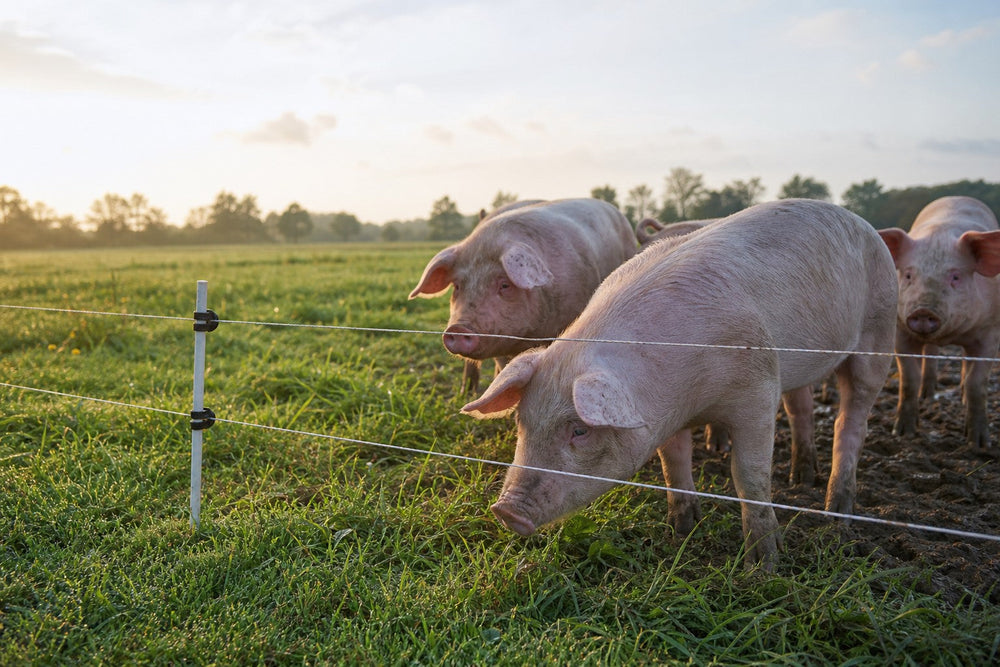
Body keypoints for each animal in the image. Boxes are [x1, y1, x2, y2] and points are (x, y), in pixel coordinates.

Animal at [463, 199, 897, 569]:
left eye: (580, 430)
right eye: (521, 421)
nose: (505, 511)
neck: (685, 396)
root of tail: (860, 222)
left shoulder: (758, 389)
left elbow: (749, 474)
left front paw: (764, 565)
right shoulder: (663, 415)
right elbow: (673, 463)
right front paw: (682, 530)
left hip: (878, 335)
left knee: (850, 419)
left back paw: (837, 514)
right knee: (802, 408)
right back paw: (801, 478)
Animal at [877, 196, 1000, 448]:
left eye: (955, 276)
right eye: (908, 275)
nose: (923, 310)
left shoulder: (990, 333)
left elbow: (977, 383)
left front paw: (979, 443)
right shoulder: (901, 332)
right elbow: (909, 379)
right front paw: (902, 433)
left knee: (964, 364)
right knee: (931, 355)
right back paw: (927, 395)